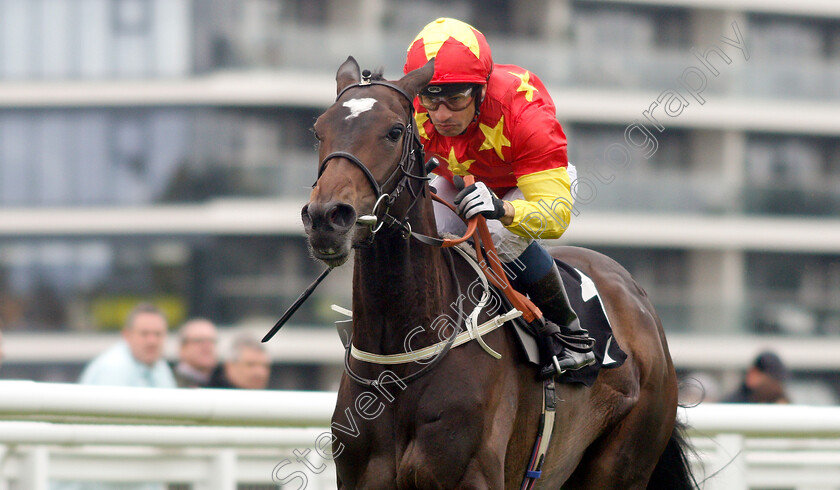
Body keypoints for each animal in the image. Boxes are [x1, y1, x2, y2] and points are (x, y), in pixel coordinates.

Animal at [302, 55, 696, 488]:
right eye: (319, 130)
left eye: (394, 131)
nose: (327, 218)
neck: (401, 359)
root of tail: (637, 298)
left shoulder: (473, 475)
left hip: (623, 462)